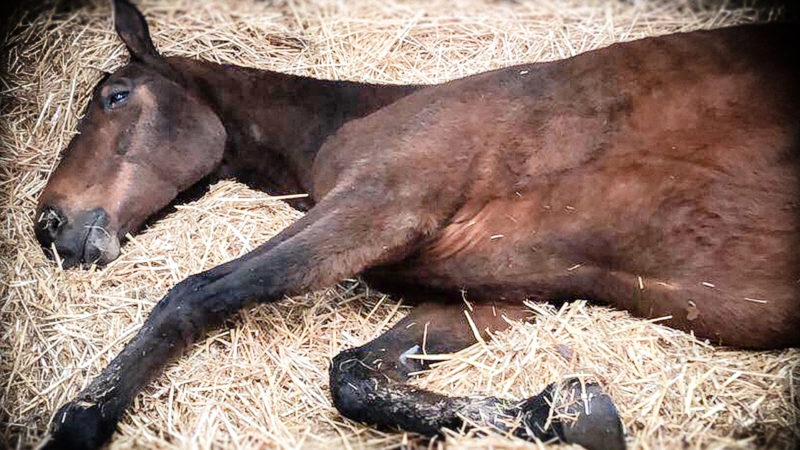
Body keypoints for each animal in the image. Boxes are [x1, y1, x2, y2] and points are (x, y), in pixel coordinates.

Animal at [34, 0, 796, 450]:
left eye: (115, 97)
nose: (50, 225)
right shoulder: (501, 298)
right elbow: (358, 372)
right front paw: (567, 413)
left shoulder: (377, 206)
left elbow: (192, 296)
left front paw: (83, 419)